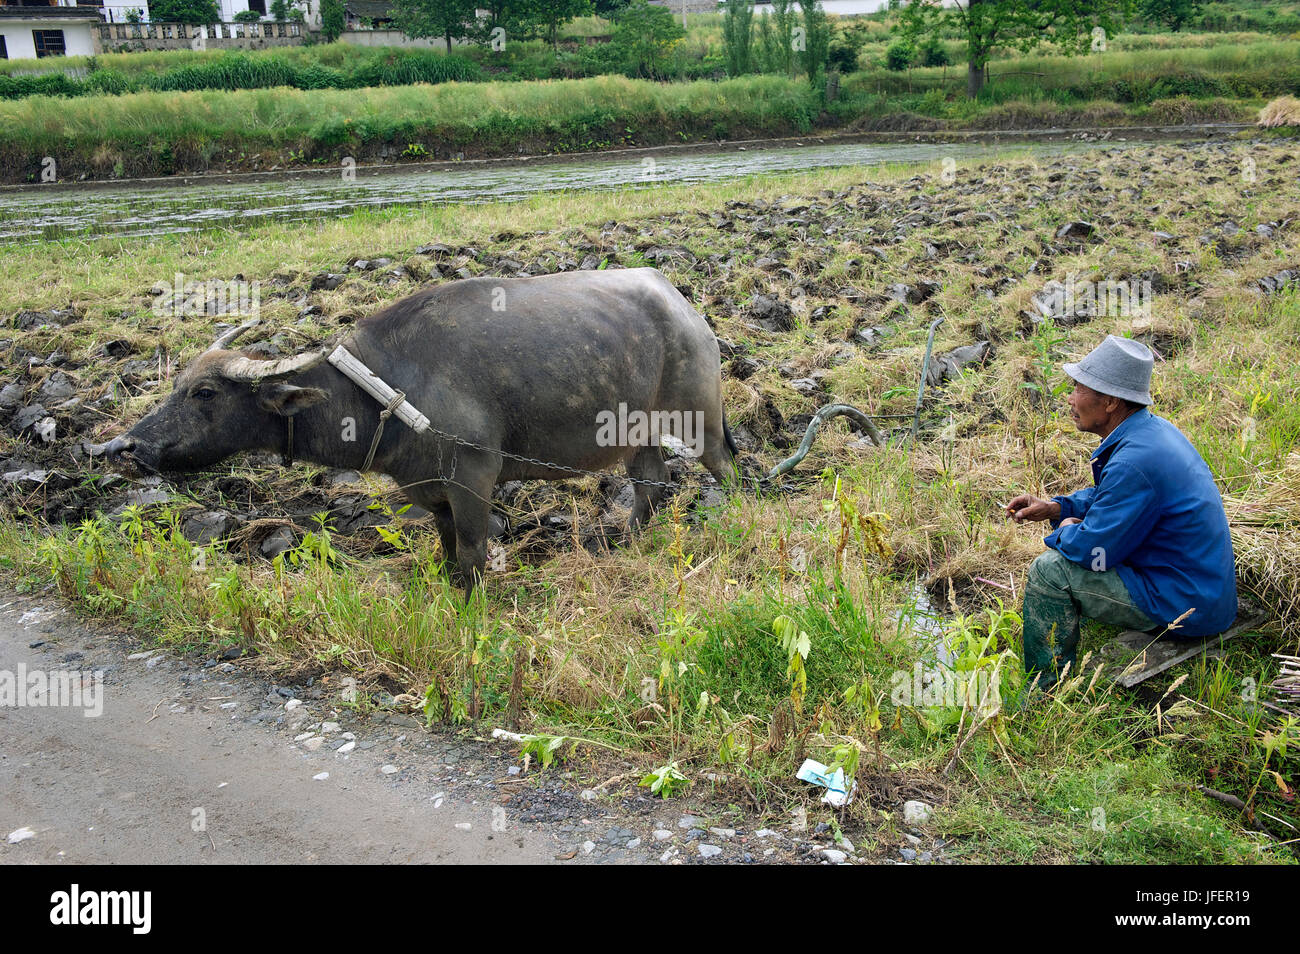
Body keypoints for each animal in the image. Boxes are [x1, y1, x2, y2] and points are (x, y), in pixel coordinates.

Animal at [97, 269, 738, 595]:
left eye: (205, 394)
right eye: (179, 383)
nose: (124, 446)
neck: (384, 388)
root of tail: (684, 306)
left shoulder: (475, 475)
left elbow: (475, 550)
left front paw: (475, 603)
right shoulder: (427, 491)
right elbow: (448, 548)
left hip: (699, 417)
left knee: (721, 467)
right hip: (636, 432)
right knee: (651, 482)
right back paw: (623, 540)